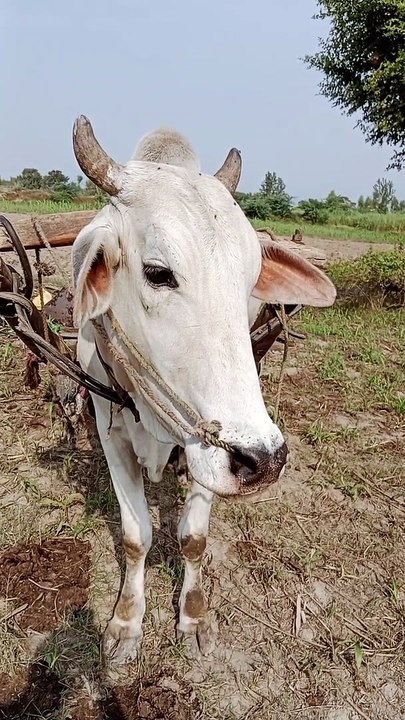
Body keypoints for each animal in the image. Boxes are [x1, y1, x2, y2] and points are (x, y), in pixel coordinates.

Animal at [71, 116, 336, 663]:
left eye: (252, 278)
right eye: (158, 273)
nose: (264, 460)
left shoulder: (204, 450)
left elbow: (192, 539)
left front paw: (192, 615)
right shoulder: (112, 433)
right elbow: (136, 537)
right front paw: (126, 622)